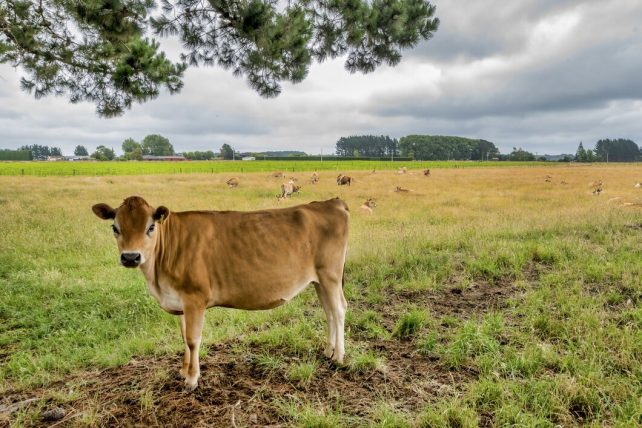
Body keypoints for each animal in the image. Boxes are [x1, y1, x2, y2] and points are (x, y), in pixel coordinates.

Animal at [92, 196, 350, 391]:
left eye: (151, 227)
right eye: (115, 228)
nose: (130, 257)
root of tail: (331, 202)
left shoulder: (195, 298)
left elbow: (193, 340)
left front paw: (192, 379)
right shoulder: (181, 302)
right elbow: (183, 338)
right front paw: (183, 370)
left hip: (331, 275)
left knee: (338, 310)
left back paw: (339, 356)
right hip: (318, 281)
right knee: (328, 311)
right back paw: (328, 351)